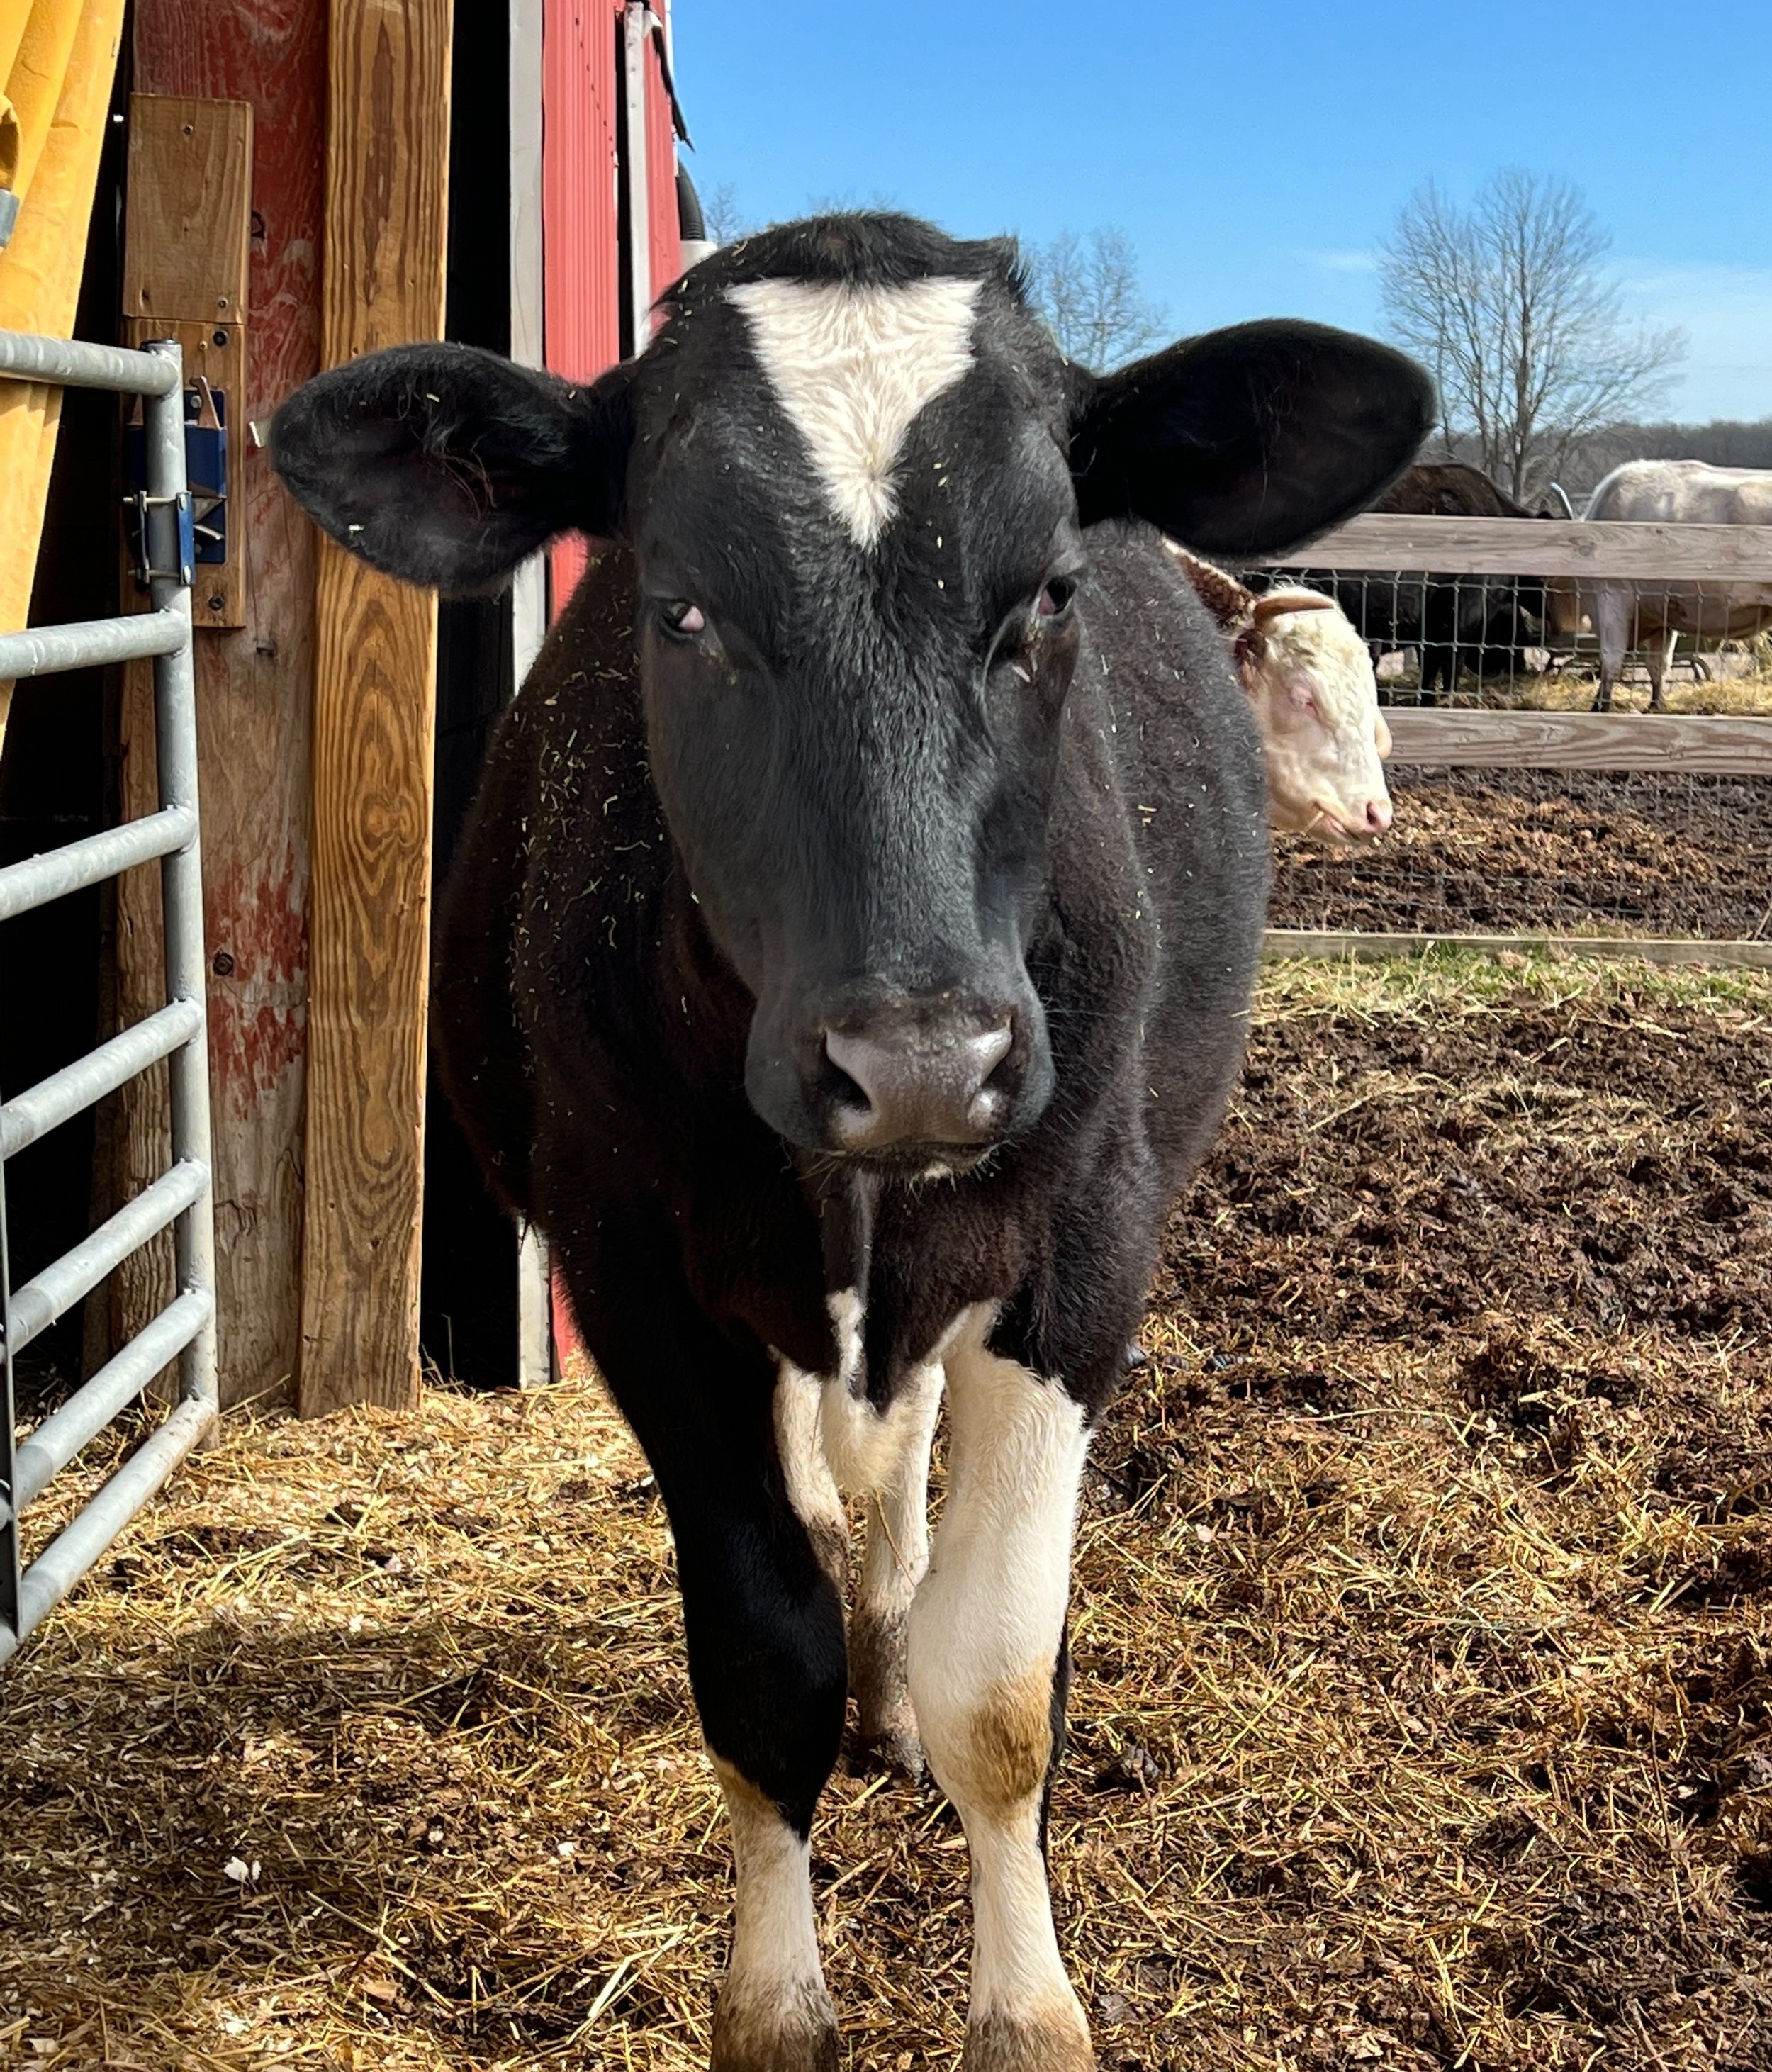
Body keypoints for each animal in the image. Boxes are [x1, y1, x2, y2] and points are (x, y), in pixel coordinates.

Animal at [1330, 460, 1551, 699]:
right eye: (1512, 625)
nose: (1519, 667)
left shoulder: (1429, 630)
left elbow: (1427, 680)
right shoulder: (1459, 623)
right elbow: (1449, 676)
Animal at [1552, 460, 1772, 711]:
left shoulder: (1613, 598)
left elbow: (1611, 660)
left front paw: (1601, 707)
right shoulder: (1662, 617)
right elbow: (1658, 665)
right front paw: (1655, 705)